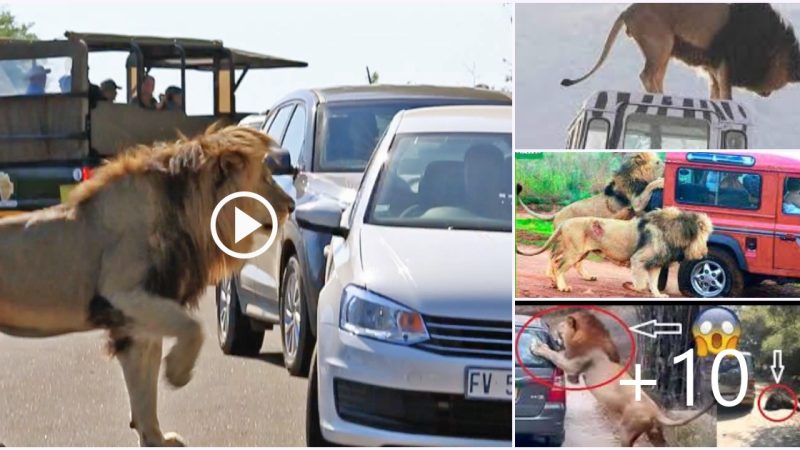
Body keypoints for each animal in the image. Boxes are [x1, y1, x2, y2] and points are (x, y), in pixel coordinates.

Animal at [0, 124, 294, 446]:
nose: (291, 205)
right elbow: (194, 328)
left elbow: (144, 387)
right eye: (265, 178)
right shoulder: (122, 294)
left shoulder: (140, 320)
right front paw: (178, 372)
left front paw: (155, 437)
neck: (192, 219)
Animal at [524, 207, 712, 298]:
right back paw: (562, 286)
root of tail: (565, 222)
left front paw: (658, 295)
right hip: (574, 252)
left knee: (557, 260)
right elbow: (641, 284)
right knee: (559, 265)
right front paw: (630, 286)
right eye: (703, 234)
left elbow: (653, 282)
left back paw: (555, 282)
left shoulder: (656, 263)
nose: (705, 252)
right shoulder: (638, 259)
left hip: (579, 252)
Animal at [532, 312, 712, 446]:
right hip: (654, 433)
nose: (554, 334)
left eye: (559, 328)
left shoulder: (573, 363)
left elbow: (554, 355)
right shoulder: (574, 370)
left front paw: (538, 347)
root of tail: (655, 411)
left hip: (627, 430)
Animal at [564, 3, 800, 99]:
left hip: (664, 51)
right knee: (646, 75)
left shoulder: (714, 68)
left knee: (655, 77)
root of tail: (627, 10)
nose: (766, 93)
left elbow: (716, 95)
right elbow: (727, 96)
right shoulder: (726, 63)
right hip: (660, 44)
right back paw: (661, 97)